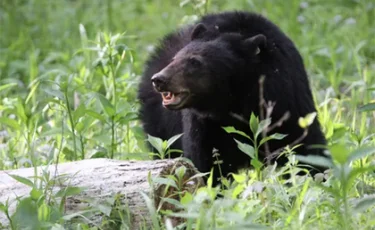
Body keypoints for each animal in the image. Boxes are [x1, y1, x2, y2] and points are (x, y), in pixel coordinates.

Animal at [138, 10, 328, 184]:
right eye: (175, 58)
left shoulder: (286, 100)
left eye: (195, 61)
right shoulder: (204, 124)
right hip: (160, 123)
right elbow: (204, 161)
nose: (159, 79)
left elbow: (306, 148)